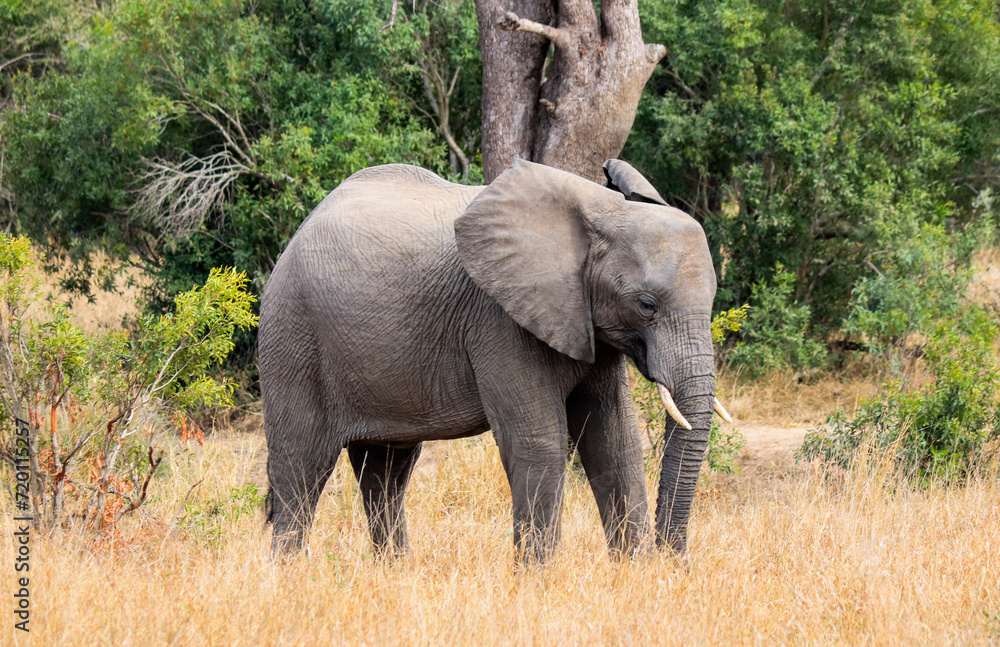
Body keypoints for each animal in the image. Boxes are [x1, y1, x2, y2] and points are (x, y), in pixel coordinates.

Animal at [258, 158, 728, 560]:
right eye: (647, 305)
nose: (674, 562)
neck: (600, 210)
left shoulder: (589, 323)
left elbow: (614, 440)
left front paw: (634, 574)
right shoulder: (499, 321)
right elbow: (540, 442)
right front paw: (538, 582)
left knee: (386, 471)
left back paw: (393, 574)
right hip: (293, 337)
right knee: (301, 469)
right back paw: (289, 577)